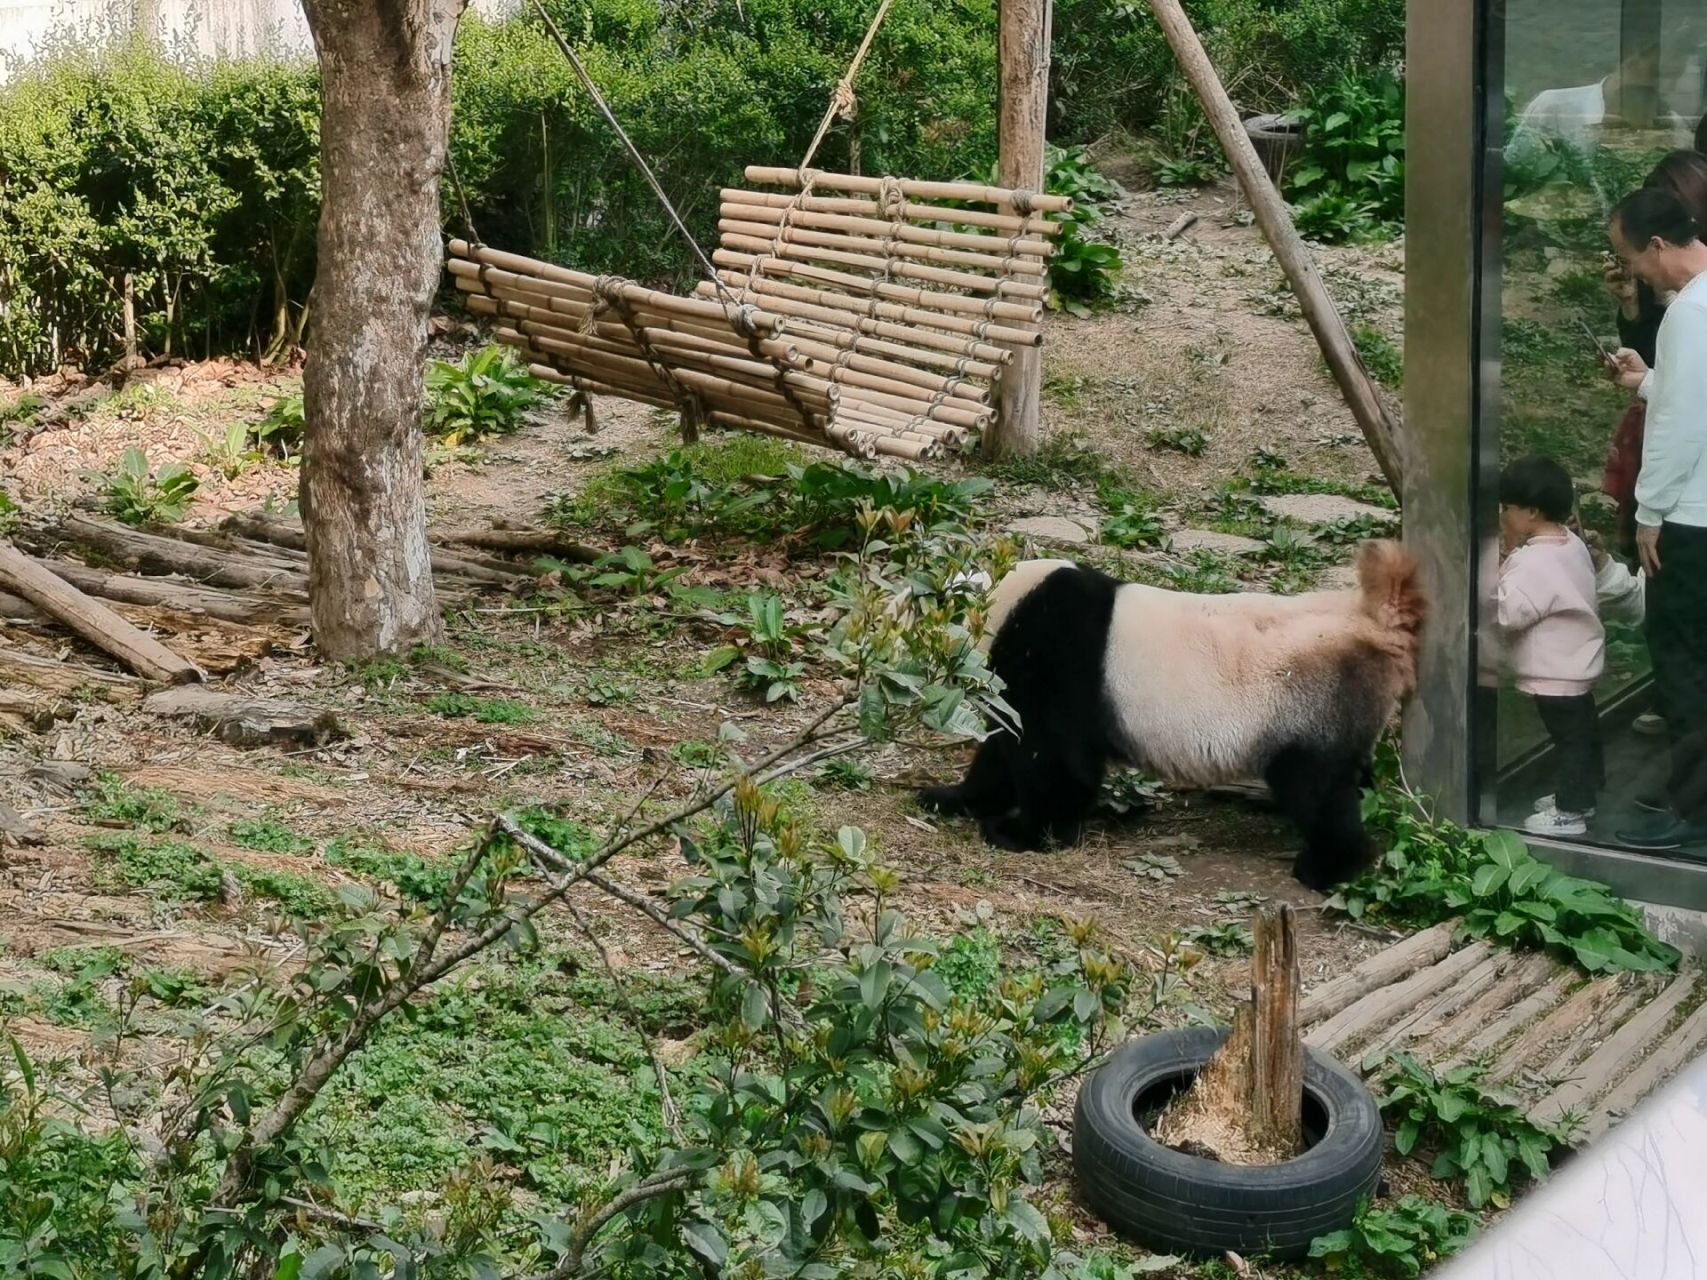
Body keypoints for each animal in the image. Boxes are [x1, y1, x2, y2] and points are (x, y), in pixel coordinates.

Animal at [921, 542, 1427, 894]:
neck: (1004, 602)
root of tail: (1372, 622)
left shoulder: (1055, 656)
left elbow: (1053, 761)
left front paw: (1023, 832)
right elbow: (1004, 750)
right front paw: (949, 797)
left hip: (1304, 704)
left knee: (1316, 788)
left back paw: (1327, 866)